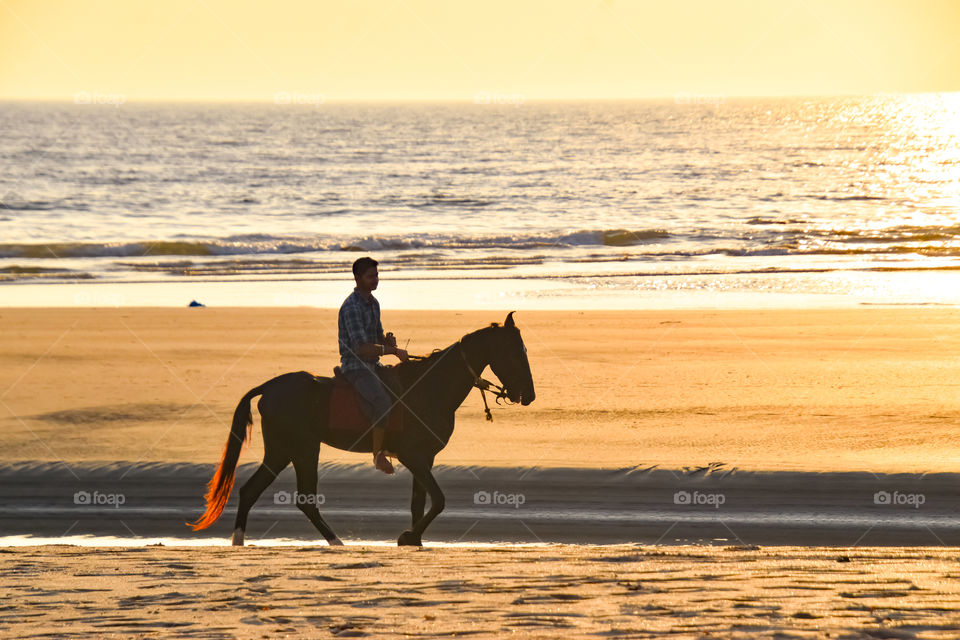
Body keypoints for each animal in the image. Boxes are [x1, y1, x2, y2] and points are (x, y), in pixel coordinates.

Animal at [188, 310, 532, 544]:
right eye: (515, 352)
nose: (528, 395)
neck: (429, 388)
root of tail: (270, 386)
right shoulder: (412, 457)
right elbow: (438, 500)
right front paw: (408, 537)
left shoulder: (425, 459)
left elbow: (419, 502)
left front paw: (414, 539)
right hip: (301, 447)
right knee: (302, 498)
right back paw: (335, 542)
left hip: (283, 450)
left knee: (253, 491)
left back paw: (241, 542)